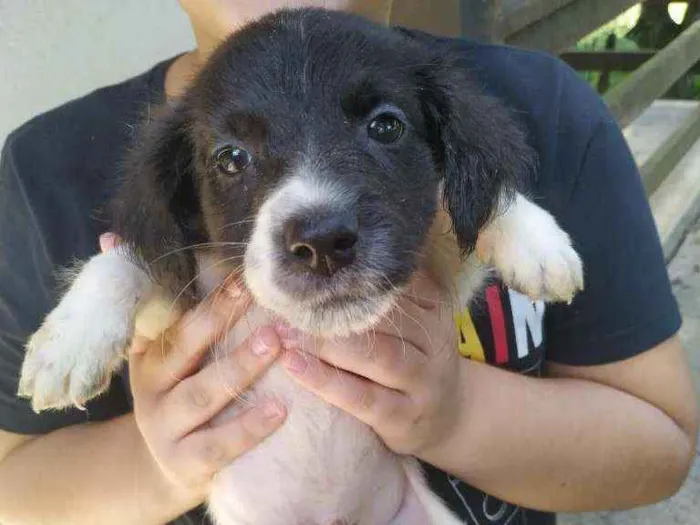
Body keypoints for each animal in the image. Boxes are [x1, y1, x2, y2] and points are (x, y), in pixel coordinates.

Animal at [19, 9, 584, 524]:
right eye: (231, 157)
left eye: (386, 125)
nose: (322, 243)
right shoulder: (176, 306)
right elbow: (126, 261)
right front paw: (68, 344)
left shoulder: (435, 277)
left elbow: (458, 208)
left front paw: (538, 243)